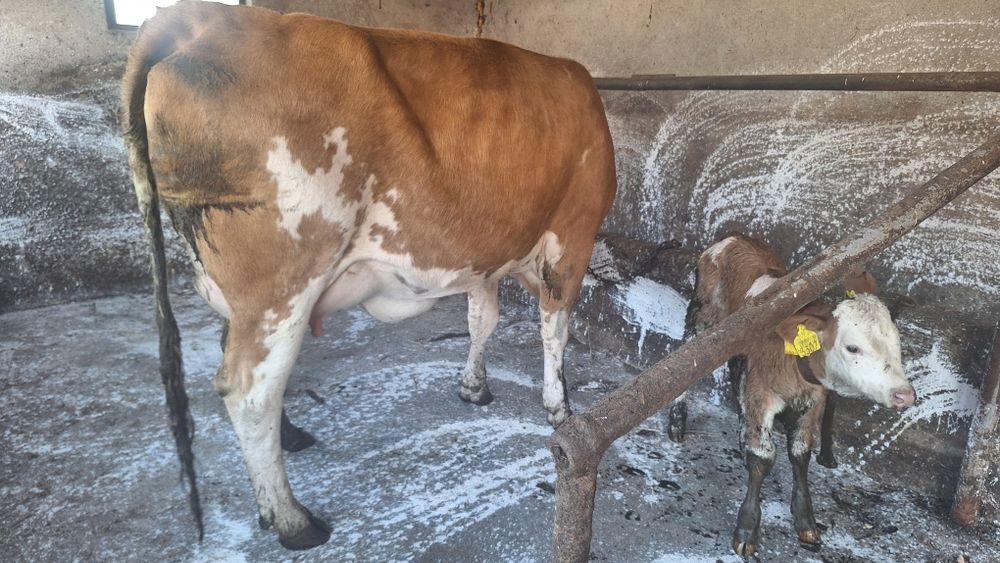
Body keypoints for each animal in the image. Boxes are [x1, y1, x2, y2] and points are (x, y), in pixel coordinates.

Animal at [121, 1, 616, 549]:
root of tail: (196, 21)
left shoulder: (483, 252)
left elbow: (481, 319)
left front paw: (473, 386)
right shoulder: (573, 235)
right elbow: (555, 330)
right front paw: (559, 407)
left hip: (239, 287)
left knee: (236, 349)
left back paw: (289, 440)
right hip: (283, 280)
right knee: (250, 391)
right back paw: (292, 518)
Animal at [681, 234, 914, 557]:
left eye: (897, 344)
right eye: (853, 347)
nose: (904, 395)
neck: (794, 363)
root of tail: (733, 237)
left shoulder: (813, 401)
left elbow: (801, 453)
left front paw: (806, 520)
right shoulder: (761, 392)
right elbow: (763, 457)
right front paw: (746, 529)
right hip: (703, 316)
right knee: (684, 352)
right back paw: (677, 422)